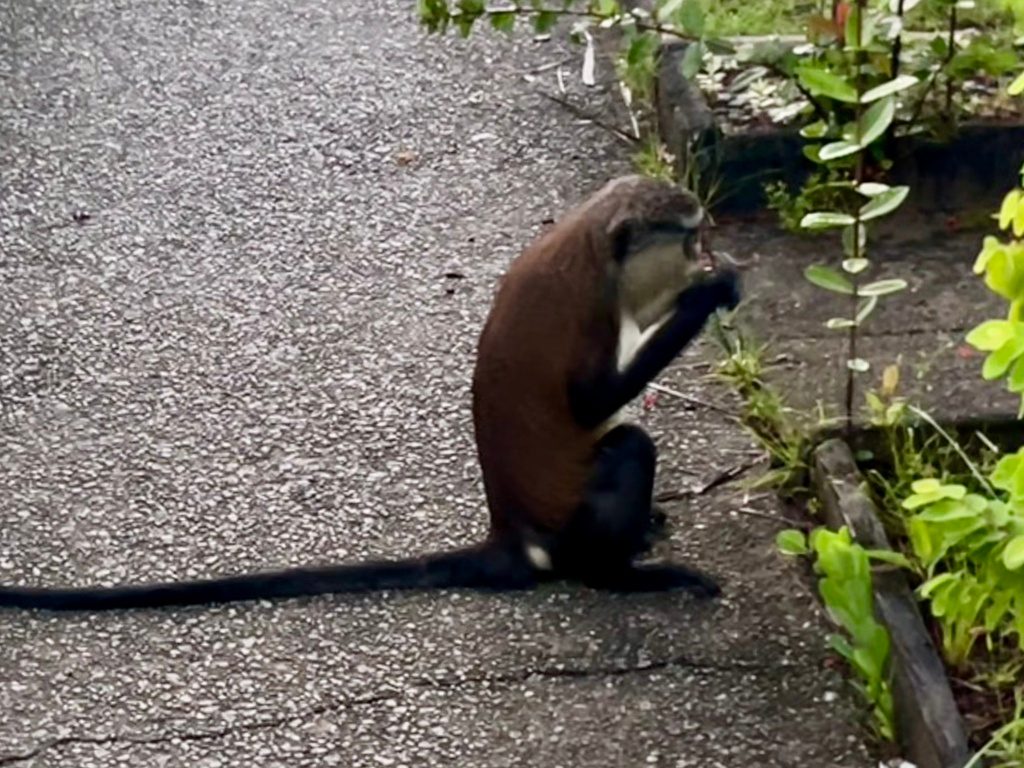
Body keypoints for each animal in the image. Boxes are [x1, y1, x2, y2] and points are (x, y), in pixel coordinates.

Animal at [0, 174, 740, 612]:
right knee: (628, 444)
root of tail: (513, 532)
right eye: (688, 237)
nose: (704, 253)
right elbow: (589, 404)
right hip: (572, 523)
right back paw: (619, 574)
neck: (592, 238)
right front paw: (709, 291)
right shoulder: (588, 309)